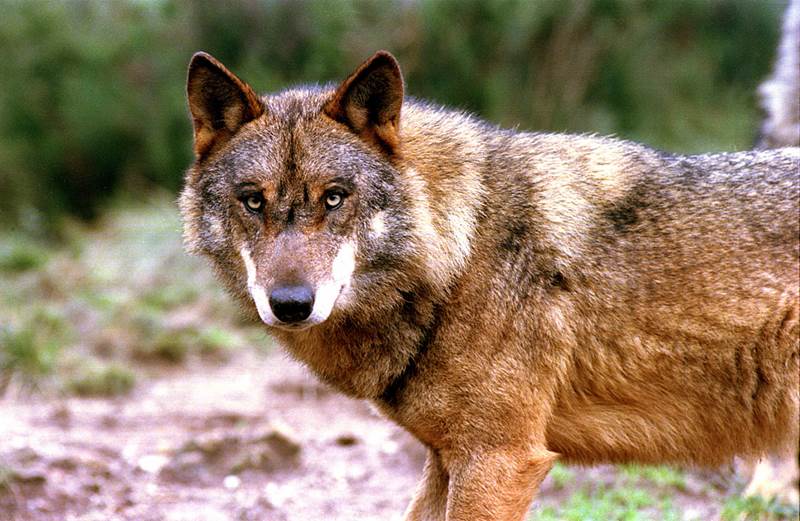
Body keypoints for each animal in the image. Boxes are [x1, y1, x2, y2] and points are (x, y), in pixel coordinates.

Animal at [179, 50, 800, 520]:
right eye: (252, 201)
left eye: (334, 197)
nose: (290, 304)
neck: (459, 251)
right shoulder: (447, 460)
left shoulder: (501, 459)